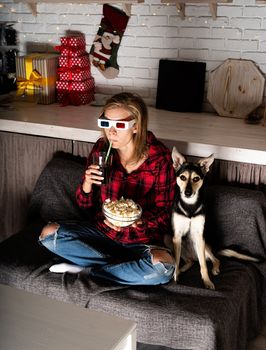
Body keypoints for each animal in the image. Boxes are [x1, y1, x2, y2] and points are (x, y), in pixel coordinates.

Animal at [167, 148, 258, 290]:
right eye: (182, 177)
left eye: (196, 178)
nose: (187, 193)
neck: (190, 206)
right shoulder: (176, 236)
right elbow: (175, 261)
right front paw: (175, 277)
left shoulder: (199, 236)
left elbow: (203, 265)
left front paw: (207, 281)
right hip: (168, 238)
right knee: (190, 261)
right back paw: (181, 269)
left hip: (204, 246)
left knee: (214, 259)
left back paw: (214, 269)